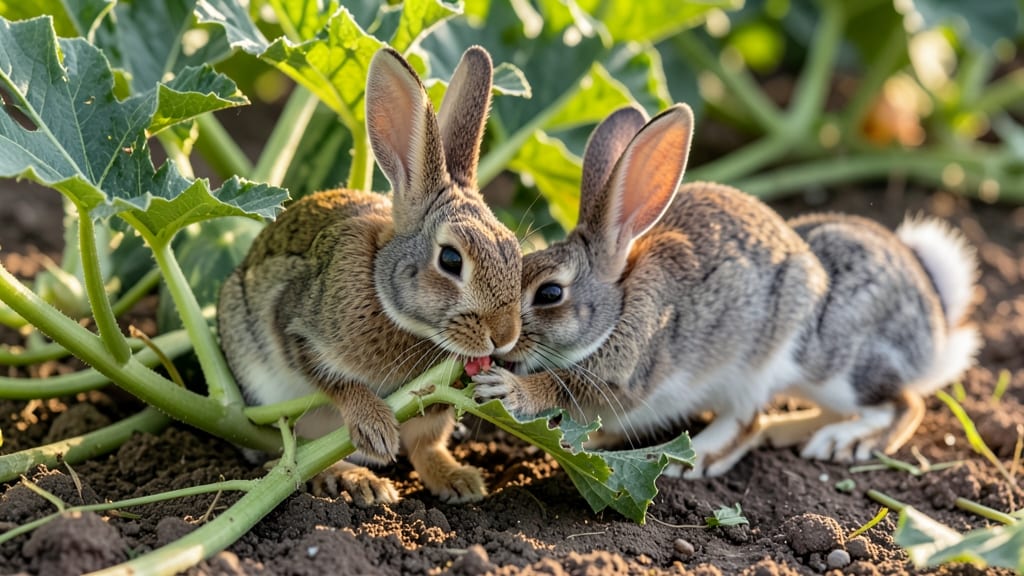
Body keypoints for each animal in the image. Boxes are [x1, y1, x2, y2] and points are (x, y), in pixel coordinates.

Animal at [218, 46, 522, 505]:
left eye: (516, 251)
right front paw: (375, 429)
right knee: (294, 455)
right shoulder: (295, 324)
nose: (503, 336)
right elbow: (334, 380)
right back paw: (358, 480)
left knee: (424, 447)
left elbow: (423, 437)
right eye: (451, 260)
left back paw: (458, 480)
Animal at [473, 103, 980, 478]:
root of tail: (935, 329)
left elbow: (565, 389)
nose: (501, 341)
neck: (616, 310)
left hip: (813, 366)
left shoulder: (625, 374)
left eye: (549, 294)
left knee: (897, 405)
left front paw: (507, 389)